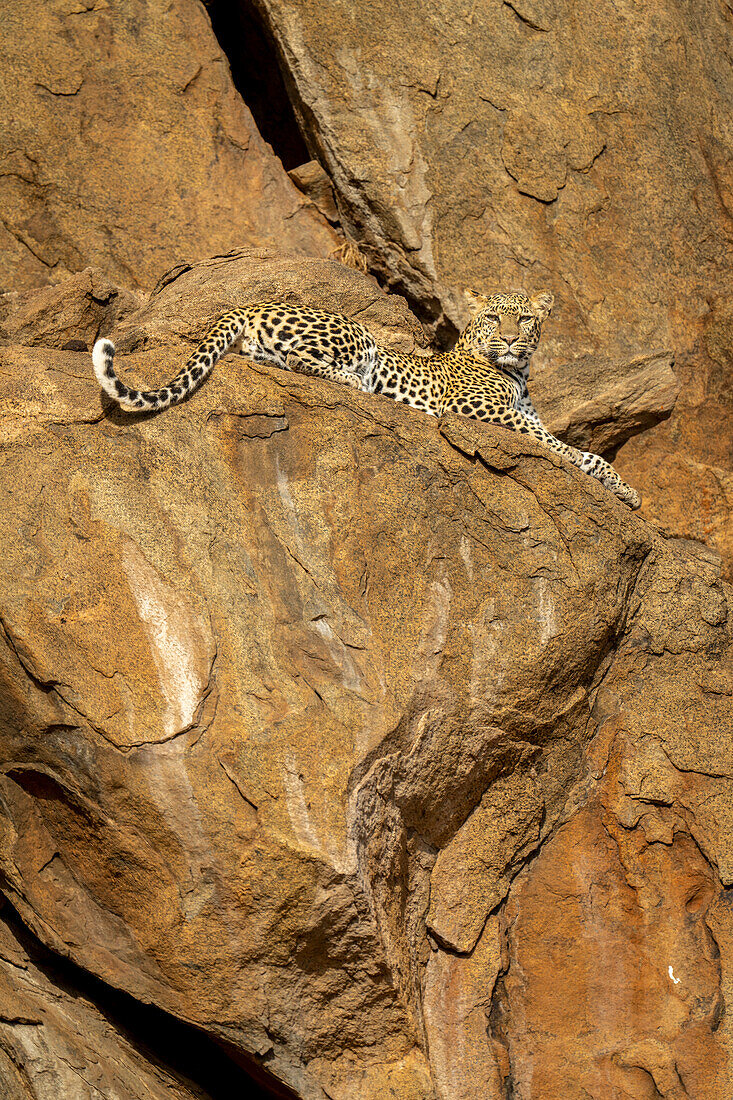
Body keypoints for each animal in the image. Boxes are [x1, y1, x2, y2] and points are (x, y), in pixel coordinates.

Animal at [91, 286, 638, 503]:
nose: (506, 340)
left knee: (270, 356)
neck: (518, 372)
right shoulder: (473, 407)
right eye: (491, 317)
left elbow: (571, 447)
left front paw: (625, 491)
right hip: (358, 334)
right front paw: (618, 486)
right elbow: (571, 451)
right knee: (303, 358)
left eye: (523, 318)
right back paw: (362, 384)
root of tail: (251, 304)